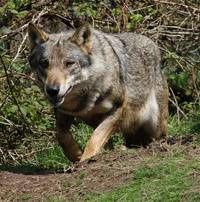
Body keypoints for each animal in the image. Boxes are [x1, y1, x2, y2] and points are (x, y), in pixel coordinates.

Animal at [27, 22, 168, 163]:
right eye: (44, 63)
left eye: (69, 63)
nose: (52, 90)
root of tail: (152, 43)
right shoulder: (63, 112)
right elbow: (62, 136)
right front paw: (76, 155)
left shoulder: (116, 109)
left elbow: (94, 139)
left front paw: (85, 160)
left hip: (155, 125)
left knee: (159, 138)